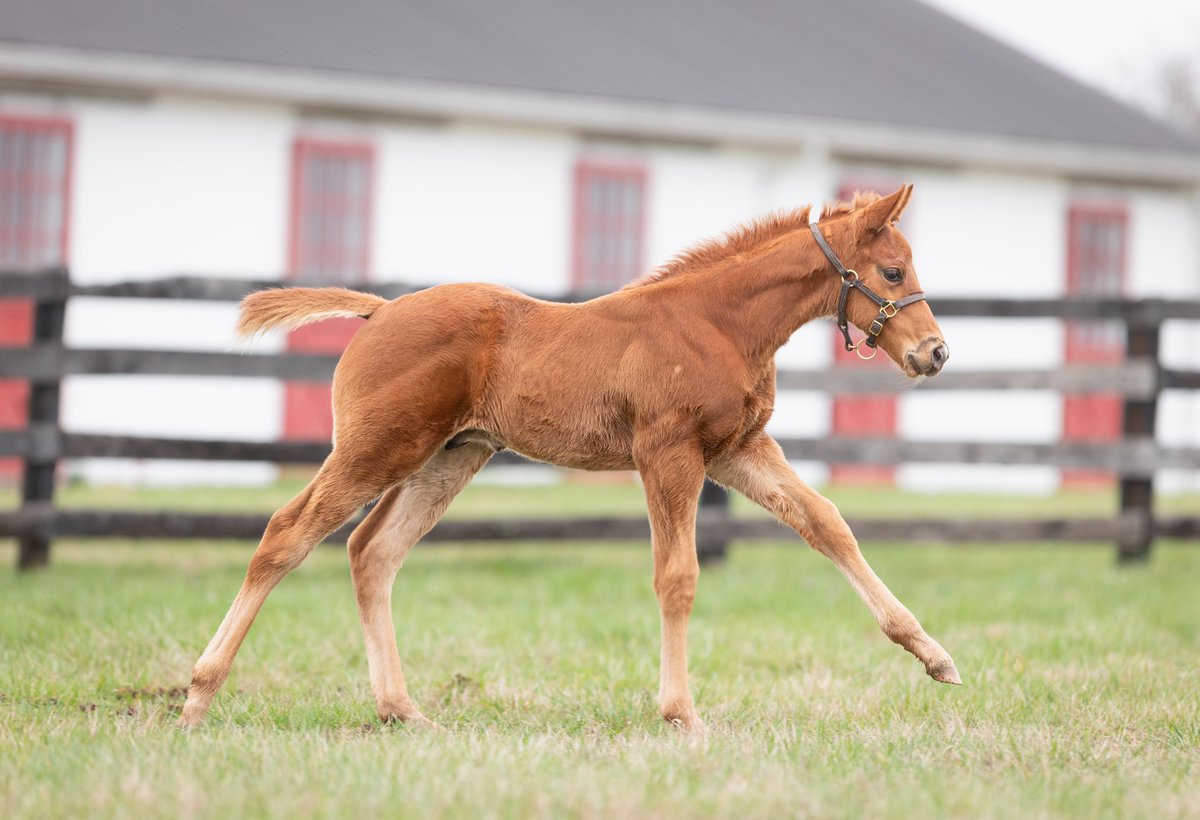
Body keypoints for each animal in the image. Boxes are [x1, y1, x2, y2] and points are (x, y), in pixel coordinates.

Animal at [178, 184, 959, 732]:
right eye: (894, 271)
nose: (935, 353)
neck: (717, 323)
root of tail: (379, 310)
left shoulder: (737, 448)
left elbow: (827, 523)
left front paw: (933, 655)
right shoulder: (668, 451)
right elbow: (677, 575)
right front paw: (682, 713)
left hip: (450, 455)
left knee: (372, 551)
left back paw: (401, 710)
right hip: (379, 446)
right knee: (287, 534)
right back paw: (197, 697)